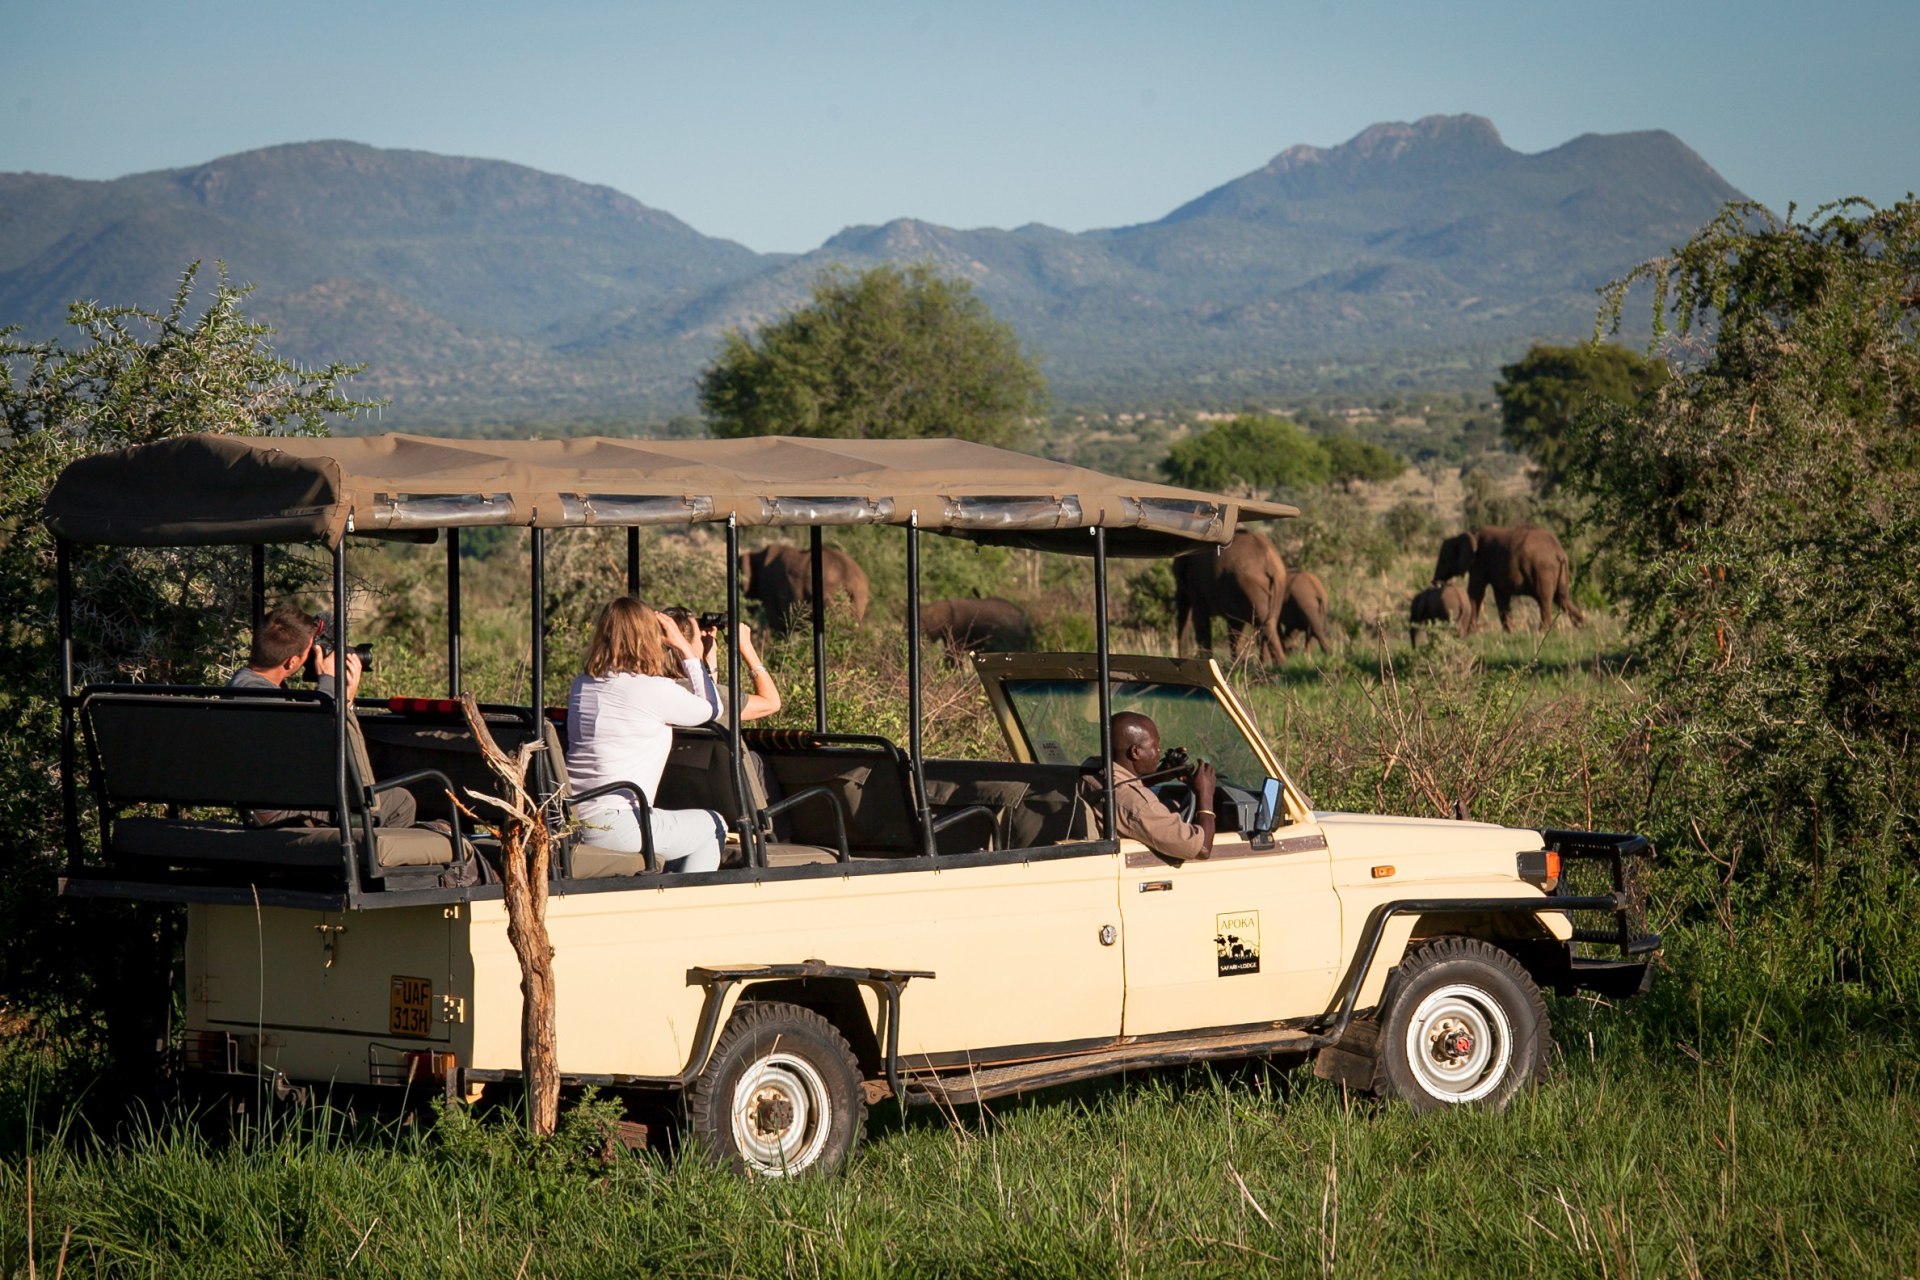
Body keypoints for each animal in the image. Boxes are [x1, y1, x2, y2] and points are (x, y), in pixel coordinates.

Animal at [1167, 533, 1290, 671]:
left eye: (1176, 575)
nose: (1180, 662)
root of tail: (1270, 562)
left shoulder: (1196, 585)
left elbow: (1200, 619)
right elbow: (1234, 626)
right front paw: (1237, 666)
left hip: (1250, 584)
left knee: (1265, 625)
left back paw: (1279, 667)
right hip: (1274, 585)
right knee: (1267, 623)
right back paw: (1265, 667)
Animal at [1436, 525, 1582, 637]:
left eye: (1444, 560)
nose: (1437, 583)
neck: (1467, 535)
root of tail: (1559, 552)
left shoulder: (1480, 562)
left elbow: (1476, 592)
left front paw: (1470, 633)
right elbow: (1501, 596)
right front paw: (1509, 633)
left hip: (1543, 570)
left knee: (1544, 599)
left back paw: (1541, 632)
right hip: (1559, 571)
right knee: (1562, 598)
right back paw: (1582, 625)